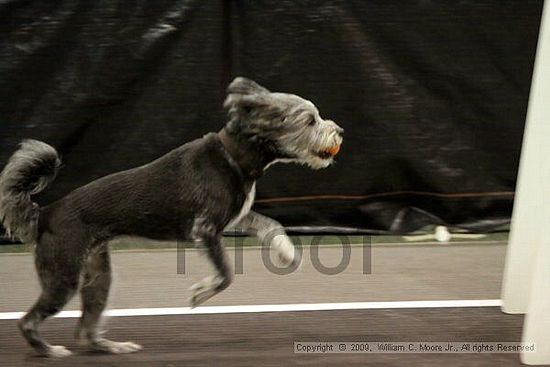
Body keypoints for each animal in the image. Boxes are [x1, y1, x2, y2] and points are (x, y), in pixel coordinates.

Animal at [0, 77, 342, 356]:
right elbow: (226, 274)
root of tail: (45, 213)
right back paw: (48, 350)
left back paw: (111, 347)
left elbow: (270, 224)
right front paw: (201, 292)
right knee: (27, 321)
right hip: (64, 275)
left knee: (85, 329)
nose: (339, 131)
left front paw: (286, 252)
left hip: (98, 276)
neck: (234, 155)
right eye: (310, 120)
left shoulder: (235, 217)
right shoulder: (205, 229)